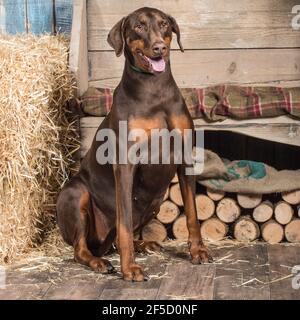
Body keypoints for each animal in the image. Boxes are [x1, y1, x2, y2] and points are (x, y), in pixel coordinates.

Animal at [56, 7, 211, 282]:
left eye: (164, 24)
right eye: (138, 26)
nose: (160, 47)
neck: (154, 89)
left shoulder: (185, 157)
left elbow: (192, 213)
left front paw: (198, 251)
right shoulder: (125, 163)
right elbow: (125, 224)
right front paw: (129, 269)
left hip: (156, 203)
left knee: (114, 239)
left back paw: (144, 244)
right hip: (76, 194)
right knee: (80, 248)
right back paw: (98, 261)